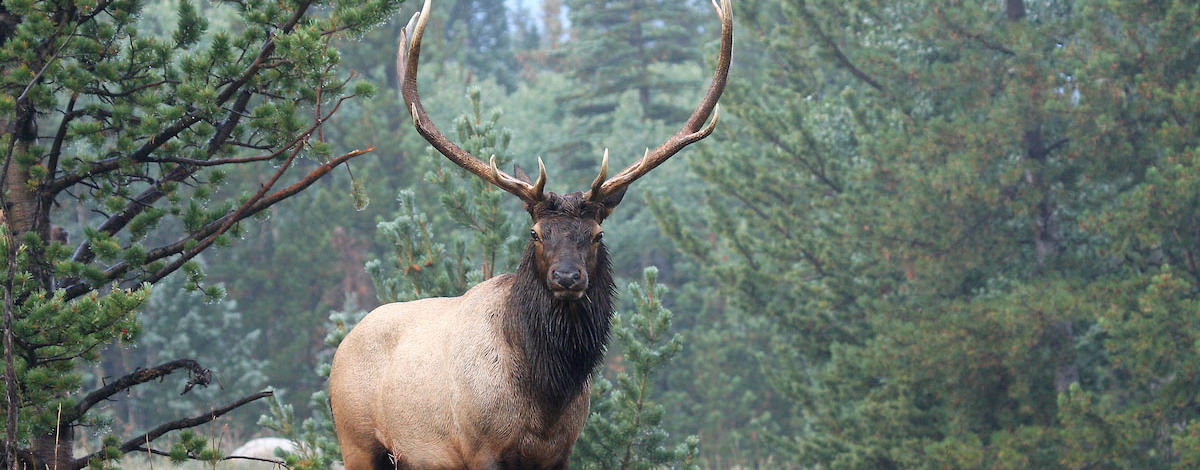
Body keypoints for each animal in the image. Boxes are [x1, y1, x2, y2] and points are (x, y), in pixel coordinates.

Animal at [328, 0, 729, 465]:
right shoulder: (480, 447)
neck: (546, 399)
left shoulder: (562, 451)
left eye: (596, 234)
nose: (567, 277)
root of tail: (342, 346)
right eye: (537, 233)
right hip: (357, 441)